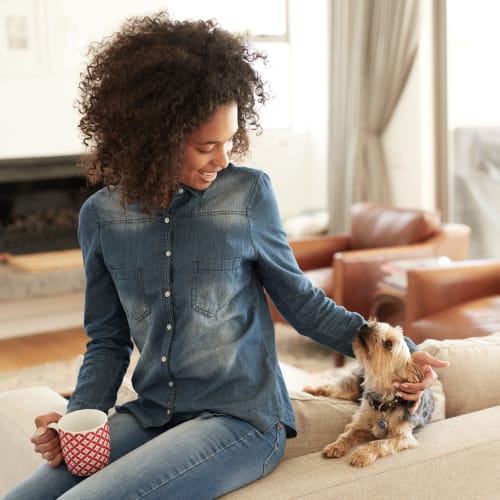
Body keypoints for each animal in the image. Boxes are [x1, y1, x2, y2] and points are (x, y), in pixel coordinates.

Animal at [302, 318, 432, 466]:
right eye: (379, 324)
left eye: (388, 344)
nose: (365, 325)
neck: (383, 401)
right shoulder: (358, 424)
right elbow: (347, 434)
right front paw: (336, 446)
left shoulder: (404, 437)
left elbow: (379, 443)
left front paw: (362, 454)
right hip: (351, 389)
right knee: (331, 388)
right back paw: (310, 389)